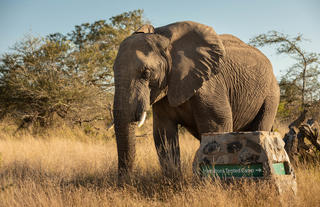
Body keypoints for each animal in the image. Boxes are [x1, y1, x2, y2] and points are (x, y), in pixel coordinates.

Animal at [113, 20, 280, 180]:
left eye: (146, 73)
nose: (125, 183)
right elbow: (164, 133)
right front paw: (173, 181)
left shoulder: (209, 85)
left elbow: (216, 126)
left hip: (271, 94)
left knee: (260, 128)